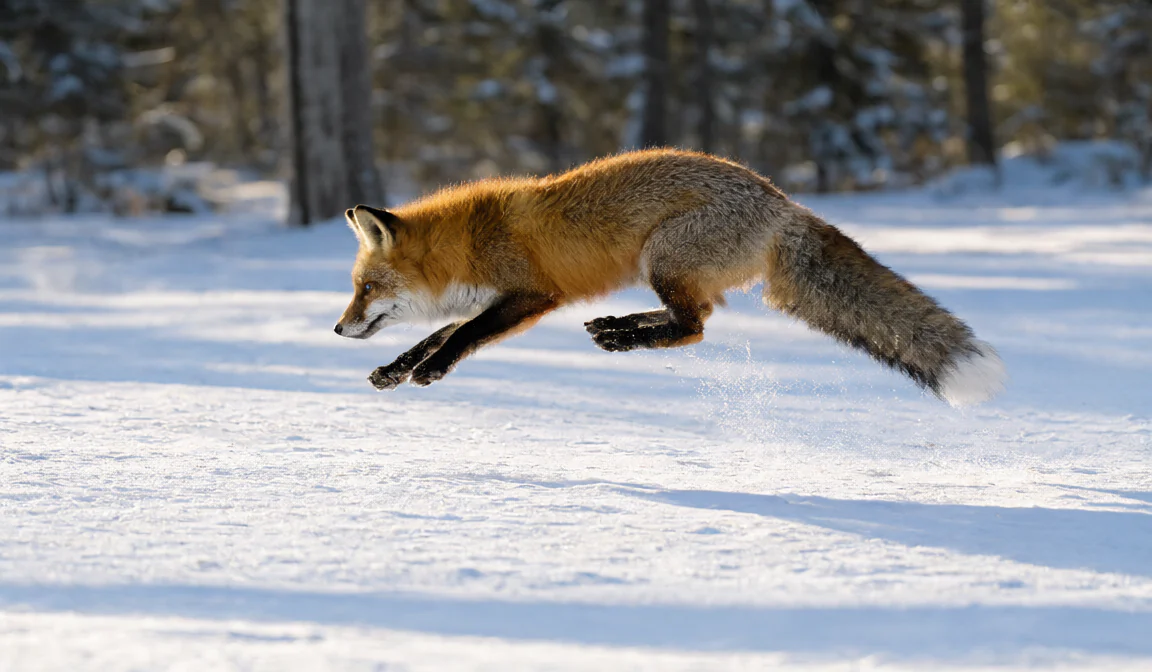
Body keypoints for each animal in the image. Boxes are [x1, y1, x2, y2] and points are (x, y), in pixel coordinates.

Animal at [334, 149, 1006, 406]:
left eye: (366, 288)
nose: (339, 329)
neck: (470, 243)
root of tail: (782, 201)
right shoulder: (492, 298)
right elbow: (437, 332)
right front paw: (396, 369)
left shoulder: (530, 295)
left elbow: (462, 336)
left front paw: (430, 371)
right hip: (662, 269)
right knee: (695, 318)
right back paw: (615, 327)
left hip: (663, 257)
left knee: (694, 328)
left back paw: (622, 337)